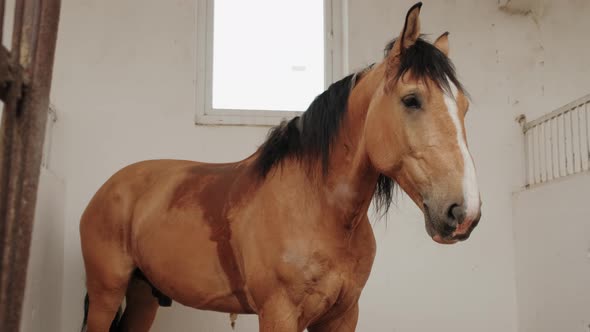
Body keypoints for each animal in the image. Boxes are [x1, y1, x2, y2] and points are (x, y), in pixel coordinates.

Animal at [80, 3, 480, 332]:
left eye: (463, 105)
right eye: (411, 99)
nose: (465, 212)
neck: (318, 208)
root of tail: (109, 187)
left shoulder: (342, 316)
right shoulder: (279, 314)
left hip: (144, 297)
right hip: (106, 295)